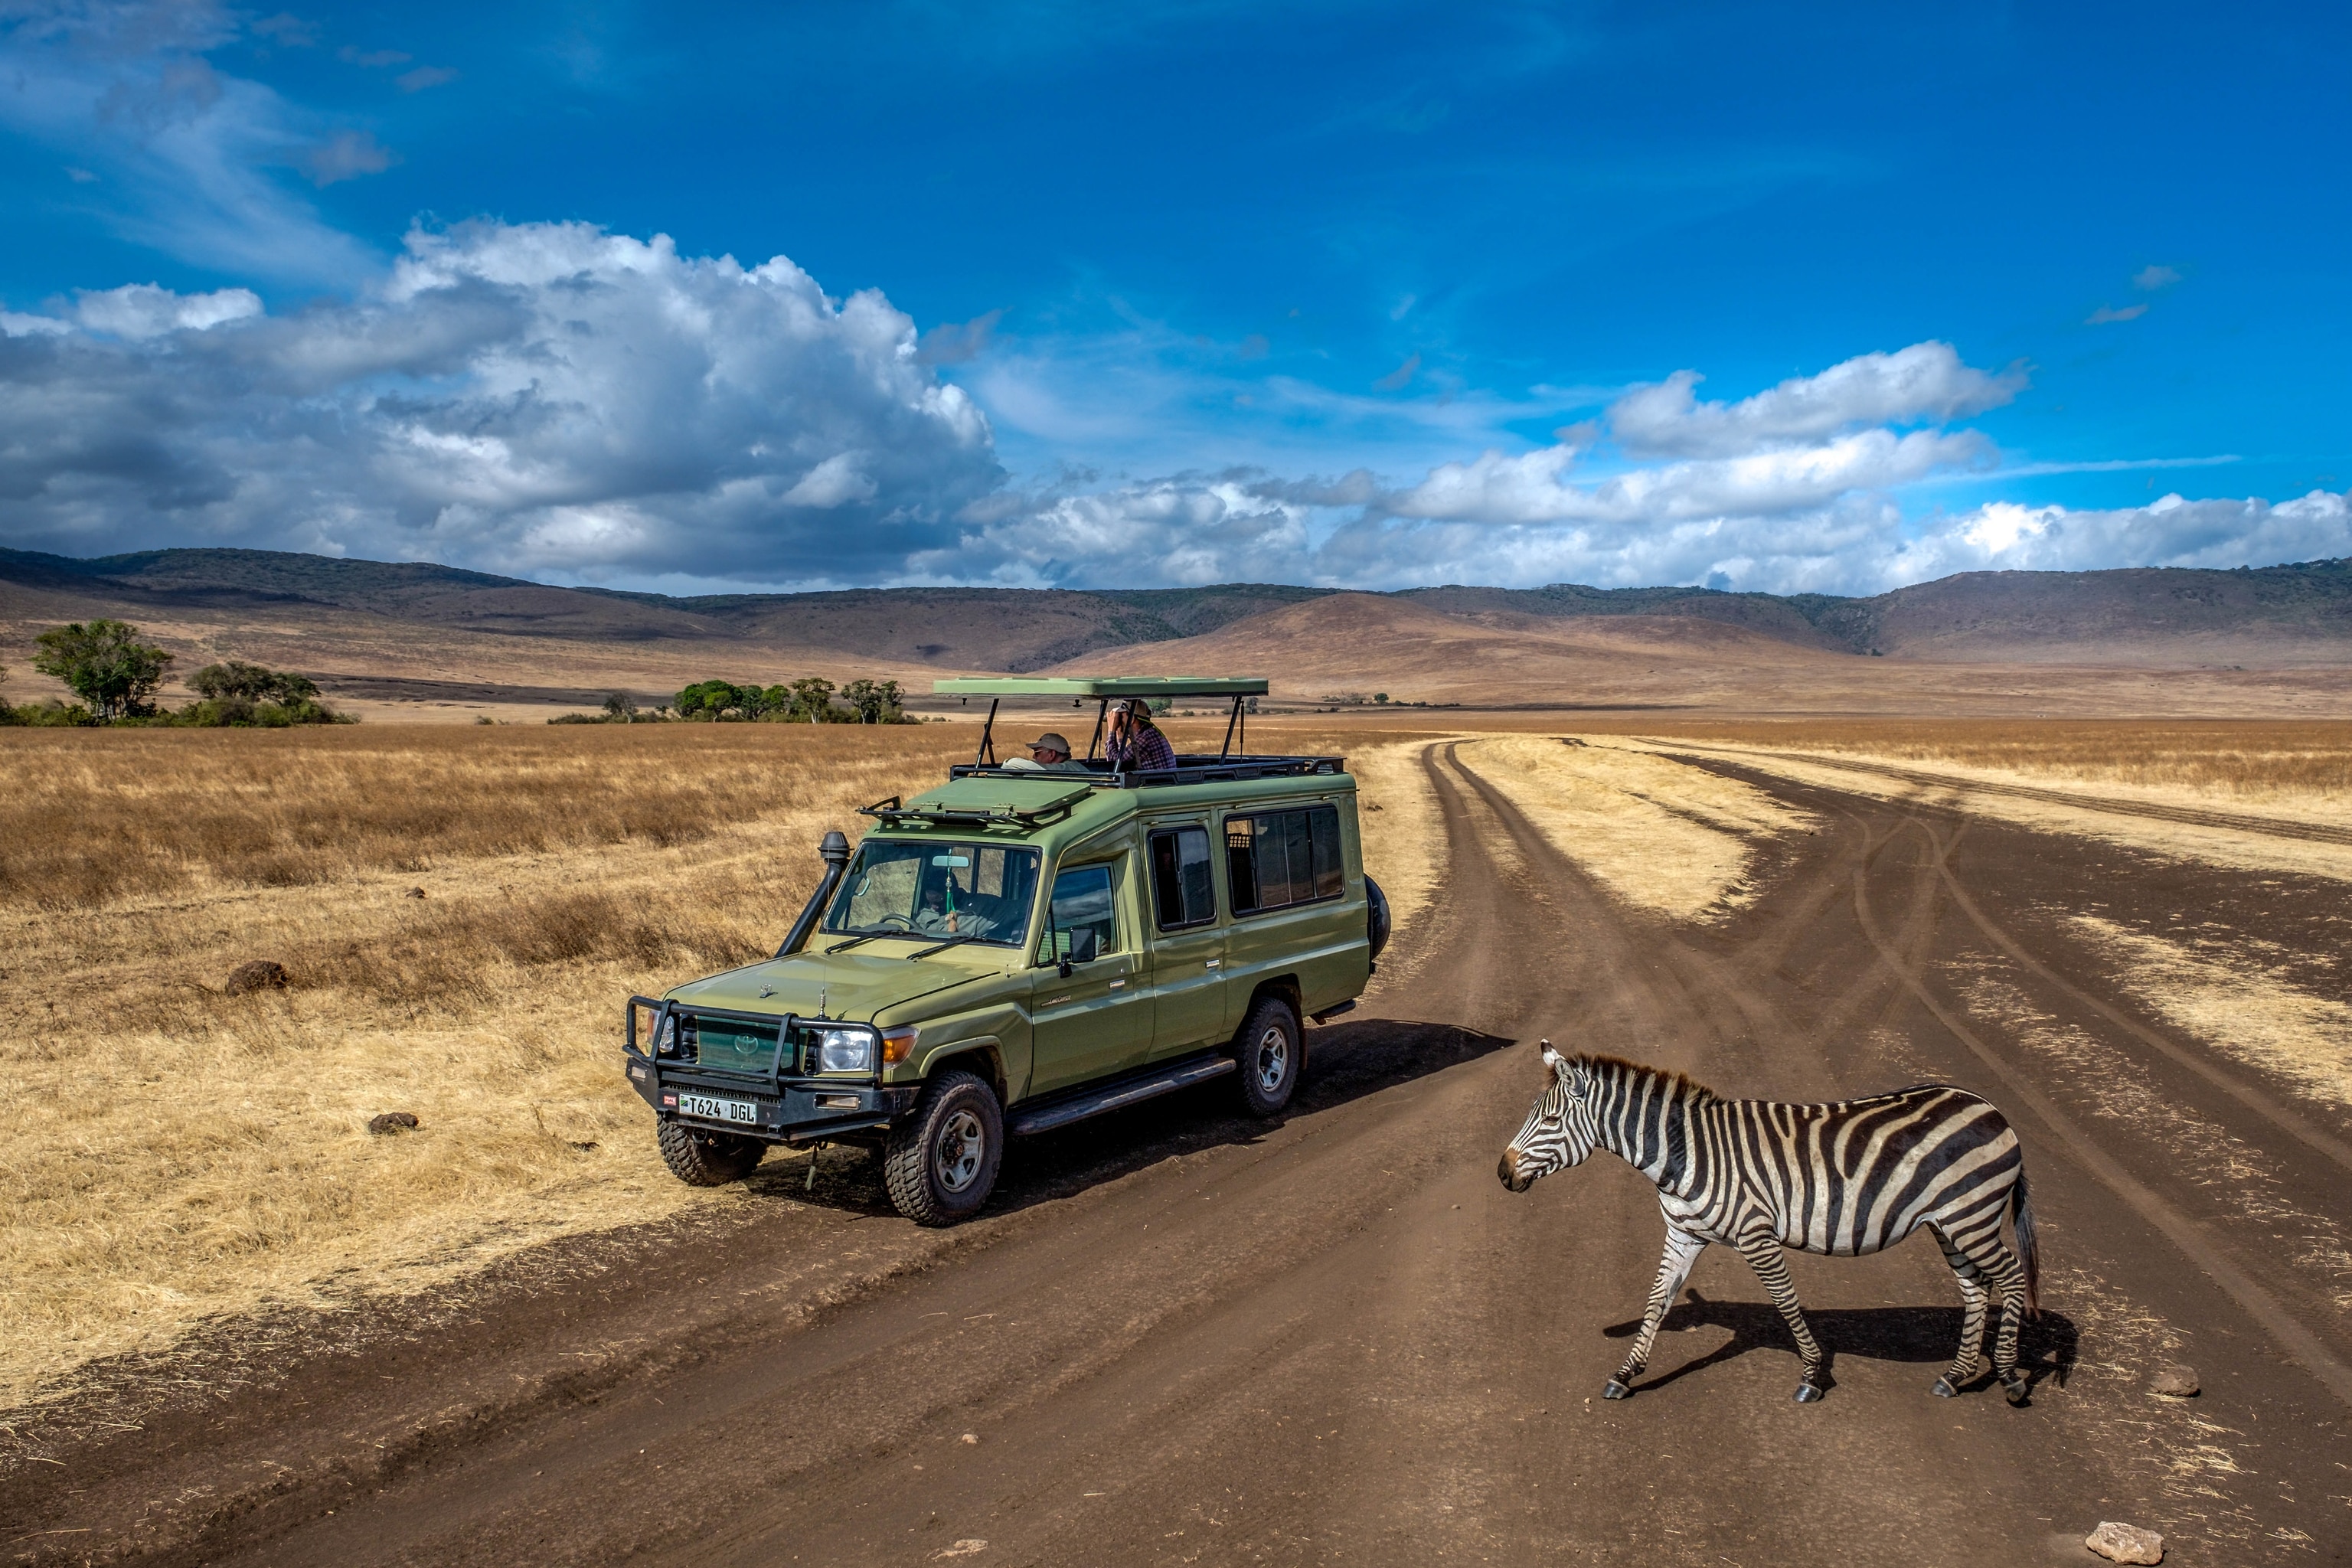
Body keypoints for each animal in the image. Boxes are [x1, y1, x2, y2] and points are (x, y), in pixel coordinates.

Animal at [1497, 1044, 2040, 1405]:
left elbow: (1784, 1300)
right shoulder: (1683, 1234)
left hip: (1971, 1216)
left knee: (2012, 1278)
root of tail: (1993, 1110)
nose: (1502, 1173)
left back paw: (2011, 1378)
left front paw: (1812, 1376)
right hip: (1949, 1224)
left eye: (1550, 1122)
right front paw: (1625, 1374)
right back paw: (1955, 1376)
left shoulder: (1756, 1235)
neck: (1686, 1153)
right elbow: (1656, 1301)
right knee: (1976, 1289)